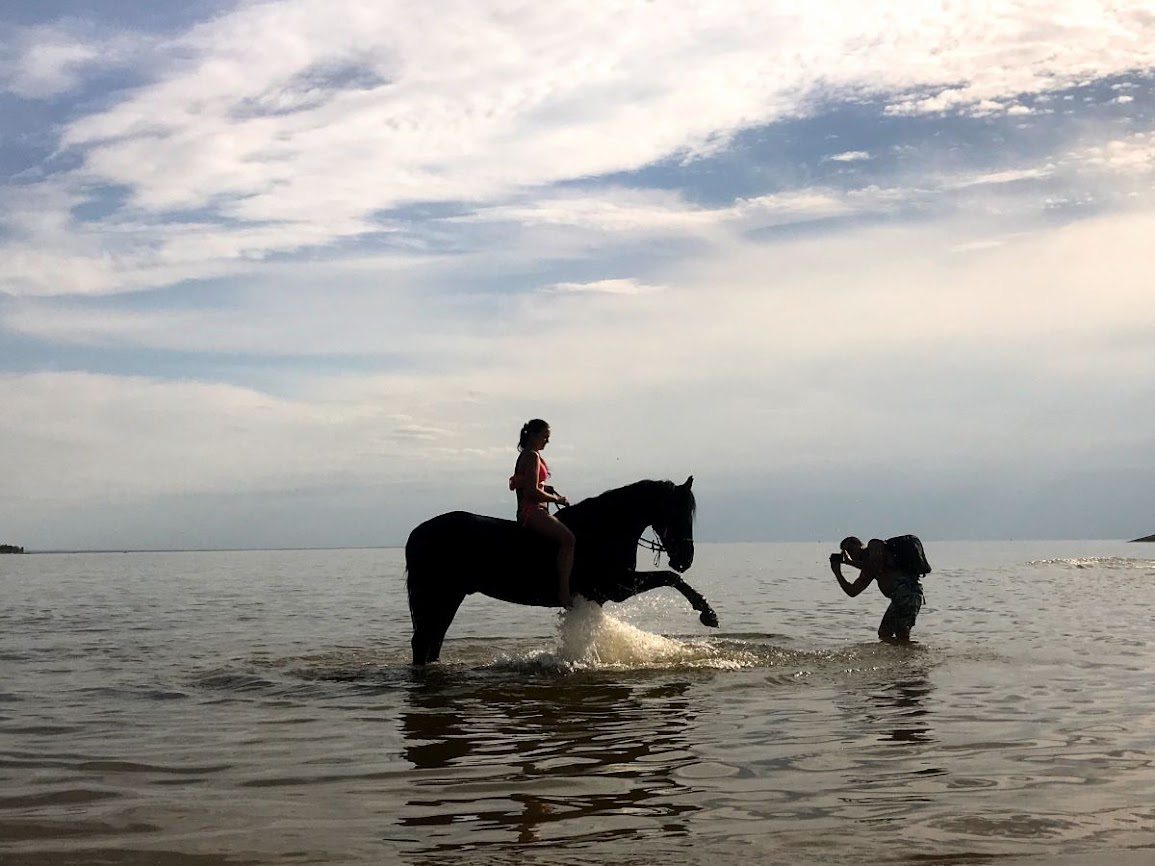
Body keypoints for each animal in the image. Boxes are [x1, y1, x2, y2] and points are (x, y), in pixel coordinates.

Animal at [404, 478, 711, 669]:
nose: (686, 558)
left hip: (449, 598)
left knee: (433, 640)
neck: (604, 529)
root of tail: (416, 533)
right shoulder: (616, 587)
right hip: (436, 595)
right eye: (678, 513)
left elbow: (672, 578)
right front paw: (707, 613)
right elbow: (672, 578)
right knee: (423, 640)